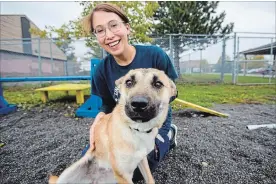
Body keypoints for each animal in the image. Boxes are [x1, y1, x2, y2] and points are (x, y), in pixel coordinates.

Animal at [48, 68, 178, 183]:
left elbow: (150, 179)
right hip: (67, 173)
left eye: (158, 83)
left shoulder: (142, 159)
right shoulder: (123, 175)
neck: (136, 130)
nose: (138, 104)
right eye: (129, 82)